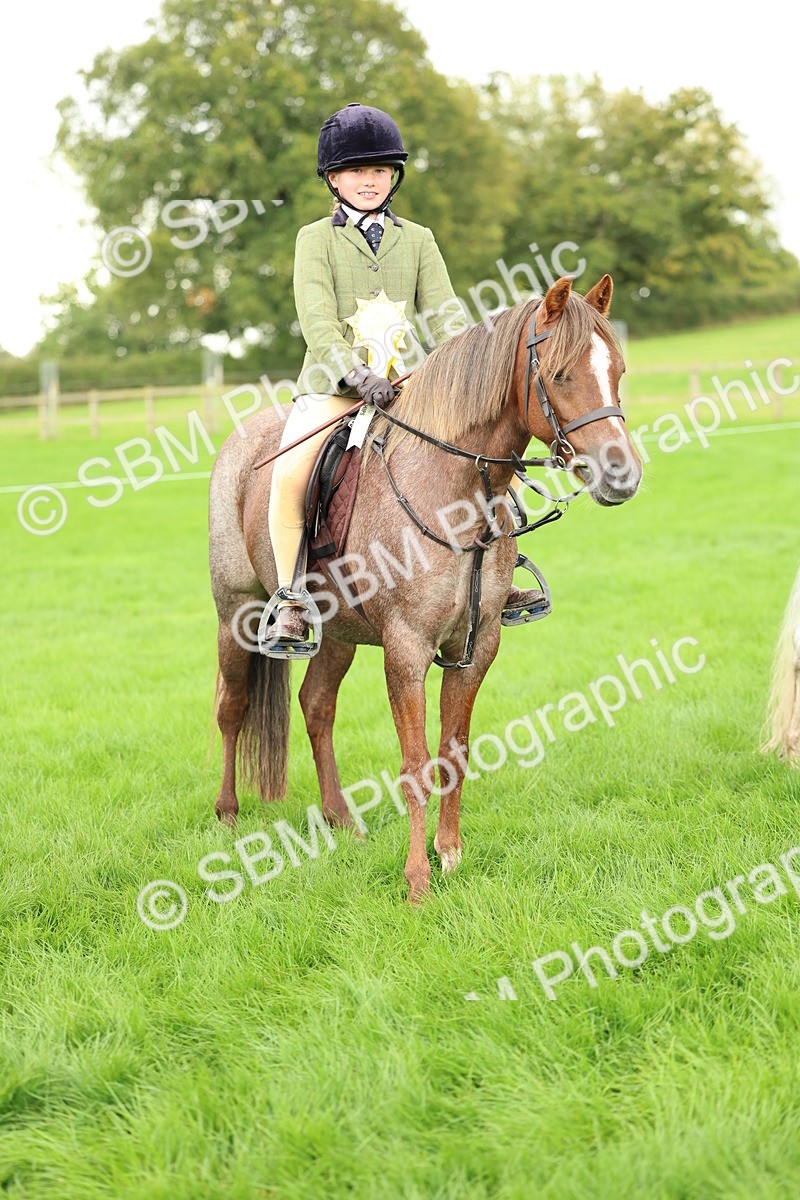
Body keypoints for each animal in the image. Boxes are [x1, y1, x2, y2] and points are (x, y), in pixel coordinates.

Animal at [208, 274, 643, 902]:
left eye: (619, 371)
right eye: (561, 374)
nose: (622, 476)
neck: (452, 494)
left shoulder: (473, 648)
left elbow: (452, 754)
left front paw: (451, 855)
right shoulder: (406, 649)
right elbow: (414, 766)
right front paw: (418, 882)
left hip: (338, 634)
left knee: (316, 706)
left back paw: (341, 819)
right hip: (235, 614)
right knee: (233, 707)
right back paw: (227, 815)